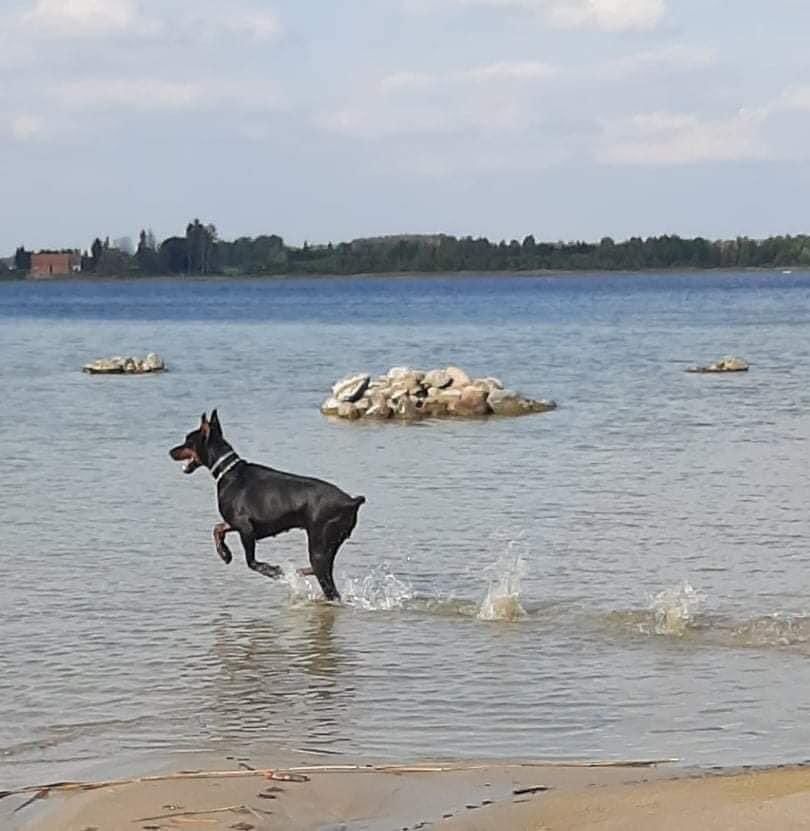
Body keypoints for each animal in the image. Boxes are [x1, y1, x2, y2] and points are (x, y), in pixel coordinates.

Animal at [169, 412, 364, 600]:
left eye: (188, 441)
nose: (171, 451)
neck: (229, 471)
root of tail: (351, 501)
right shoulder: (235, 523)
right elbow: (217, 529)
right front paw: (225, 554)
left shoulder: (245, 527)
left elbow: (251, 562)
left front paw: (274, 570)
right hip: (330, 545)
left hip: (319, 547)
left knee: (330, 589)